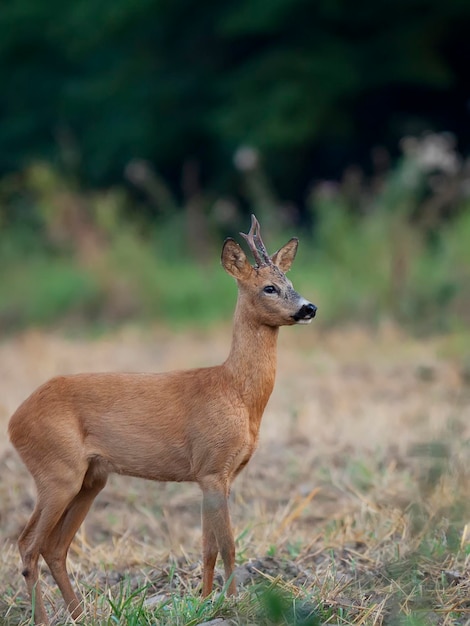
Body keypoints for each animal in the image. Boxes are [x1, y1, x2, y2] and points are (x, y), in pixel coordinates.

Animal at [8, 213, 316, 620]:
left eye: (290, 283)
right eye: (269, 287)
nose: (309, 308)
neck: (236, 392)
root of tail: (14, 421)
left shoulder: (214, 474)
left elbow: (208, 547)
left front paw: (205, 601)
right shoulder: (212, 465)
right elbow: (229, 545)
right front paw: (234, 603)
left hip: (91, 478)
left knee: (55, 547)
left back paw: (81, 615)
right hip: (56, 471)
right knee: (28, 544)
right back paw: (45, 619)